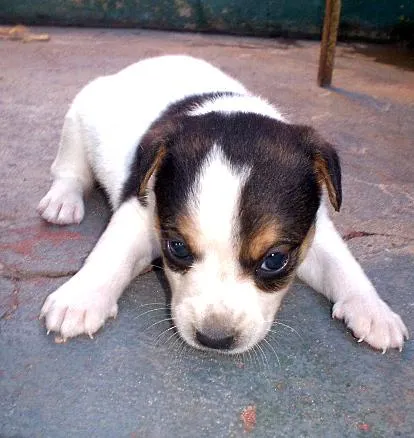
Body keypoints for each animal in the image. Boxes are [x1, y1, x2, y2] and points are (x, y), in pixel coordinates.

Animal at [38, 56, 408, 354]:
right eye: (178, 248)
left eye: (275, 260)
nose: (214, 339)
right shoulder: (140, 209)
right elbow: (111, 255)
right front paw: (80, 298)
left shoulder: (314, 230)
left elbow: (342, 265)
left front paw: (373, 311)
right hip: (76, 123)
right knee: (69, 171)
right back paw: (62, 202)